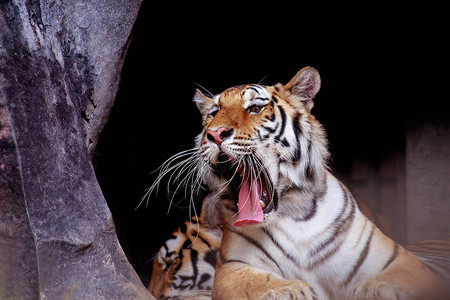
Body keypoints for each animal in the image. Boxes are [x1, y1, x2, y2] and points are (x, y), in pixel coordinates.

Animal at [148, 67, 446, 298]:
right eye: (213, 113)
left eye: (255, 108)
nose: (215, 133)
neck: (294, 214)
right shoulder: (232, 268)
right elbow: (252, 283)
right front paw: (290, 290)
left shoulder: (403, 261)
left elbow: (399, 281)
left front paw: (374, 289)